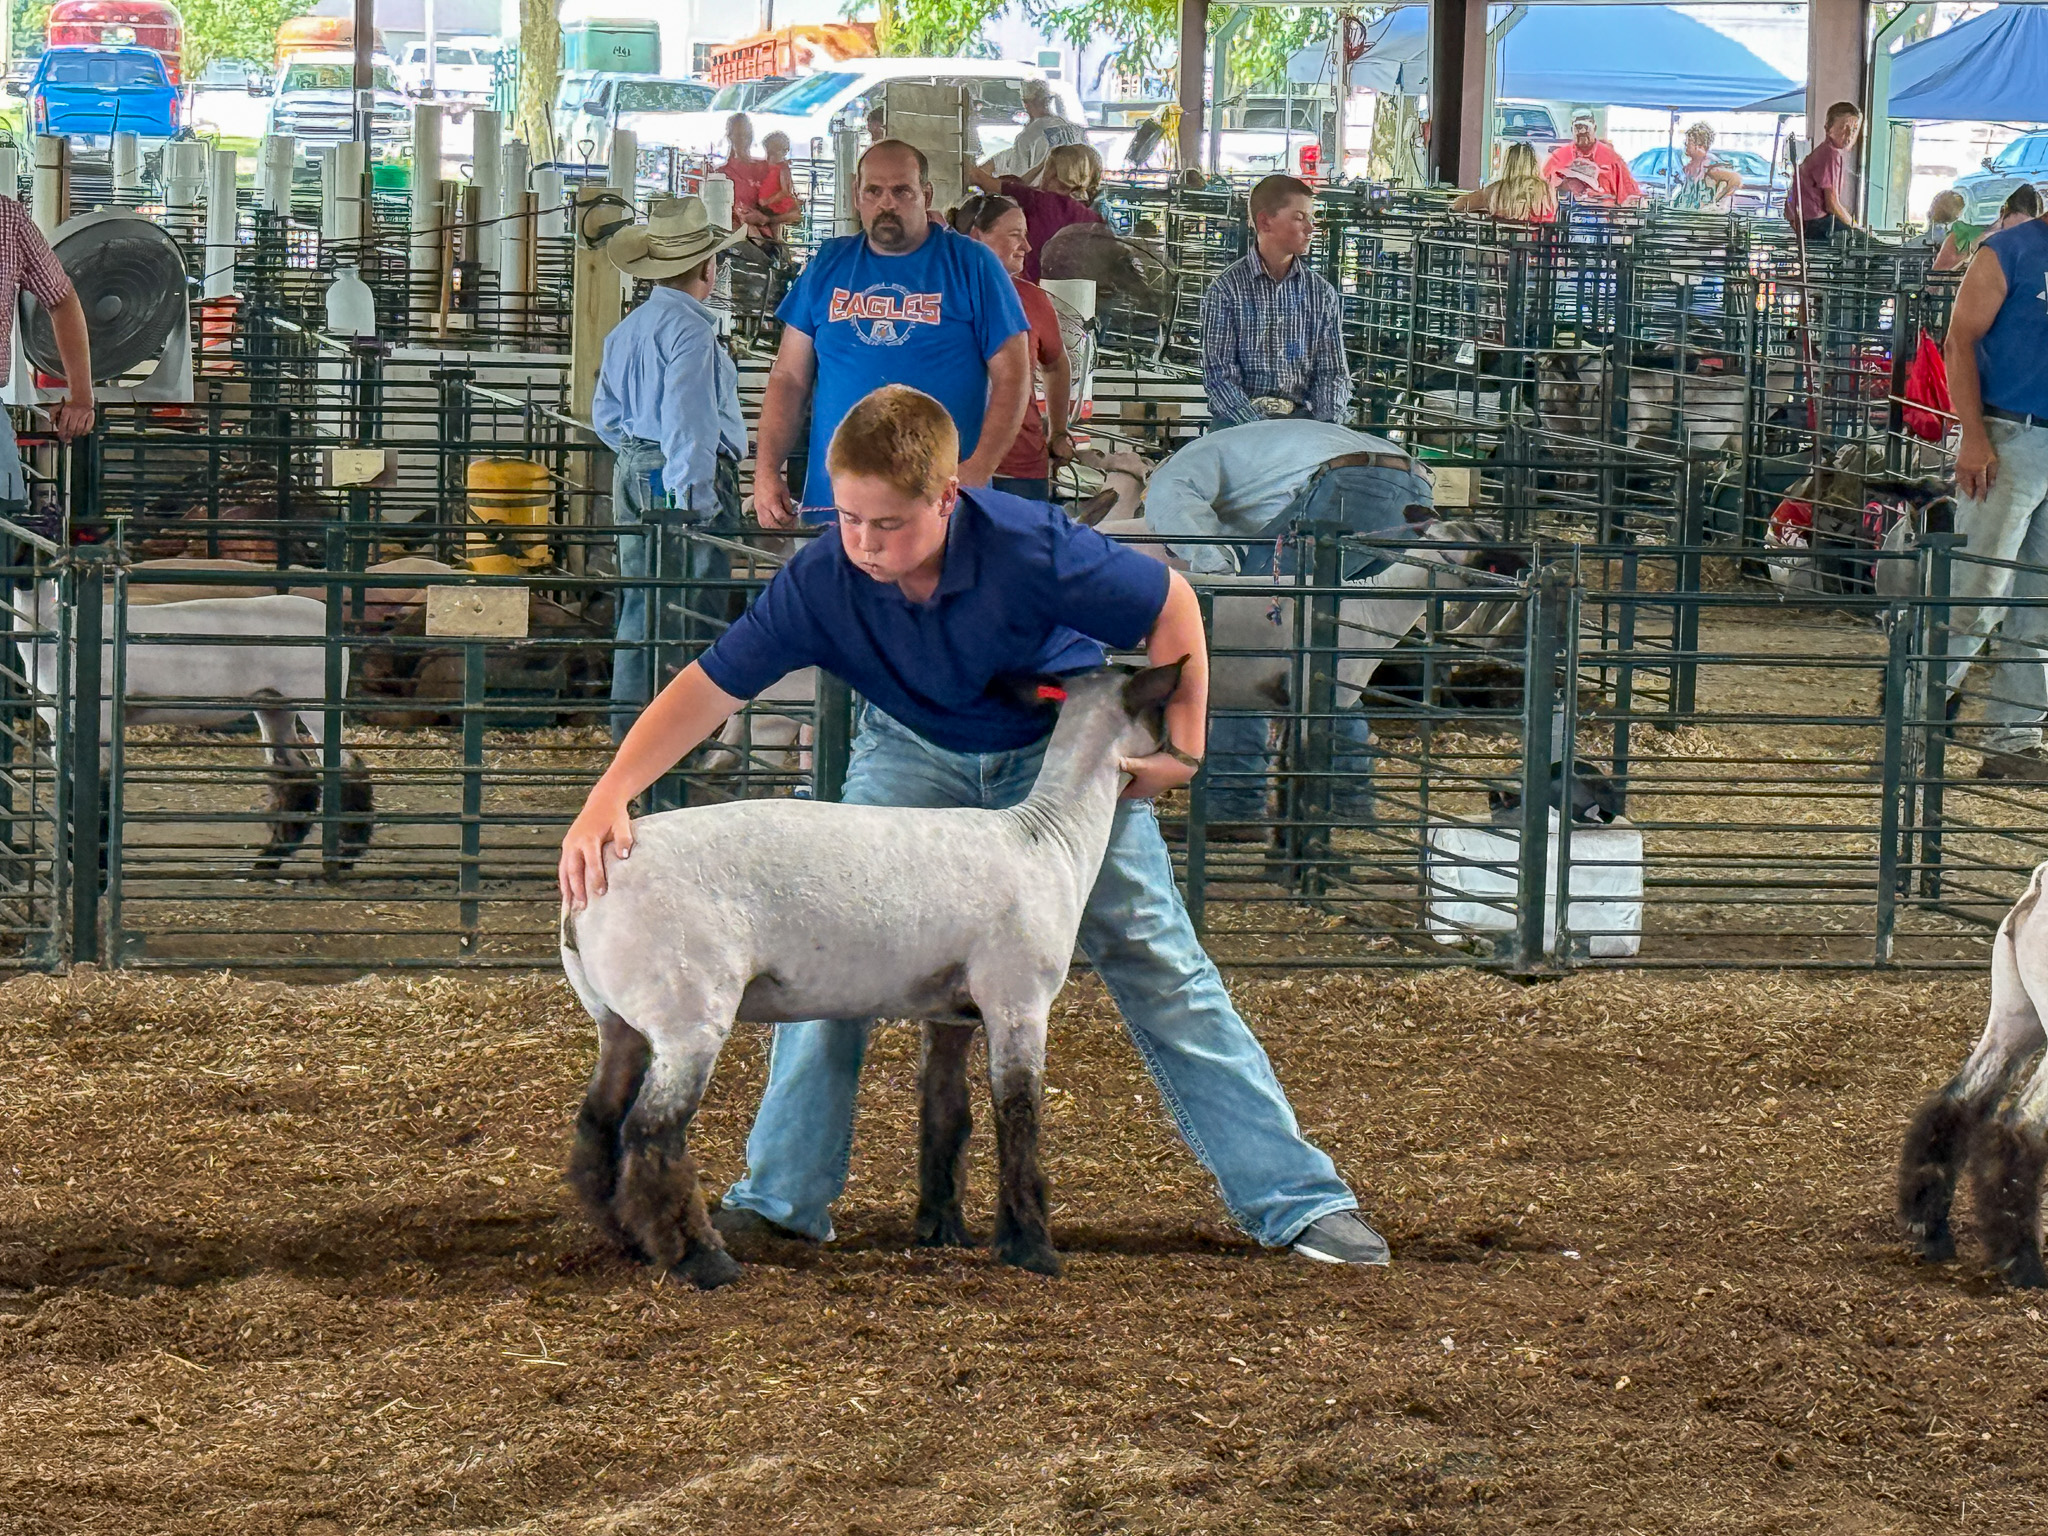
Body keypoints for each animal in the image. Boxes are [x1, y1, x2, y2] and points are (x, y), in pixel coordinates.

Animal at [1899, 864, 2048, 1287]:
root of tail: (2039, 885)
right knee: (2023, 1124)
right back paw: (2022, 1262)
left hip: (2016, 1015)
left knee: (1961, 1101)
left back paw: (1929, 1228)